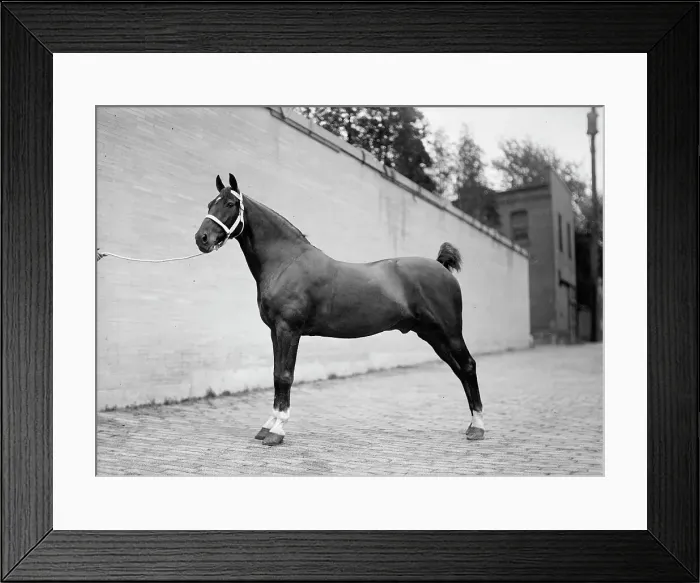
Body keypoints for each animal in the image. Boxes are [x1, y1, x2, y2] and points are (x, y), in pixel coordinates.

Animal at [194, 173, 484, 446]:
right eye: (210, 203)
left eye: (230, 204)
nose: (202, 238)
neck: (286, 262)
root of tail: (441, 266)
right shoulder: (275, 331)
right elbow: (276, 374)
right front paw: (267, 426)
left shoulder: (289, 329)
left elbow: (285, 375)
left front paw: (277, 431)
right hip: (432, 335)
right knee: (459, 370)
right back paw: (472, 424)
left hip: (450, 333)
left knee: (468, 365)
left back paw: (478, 427)